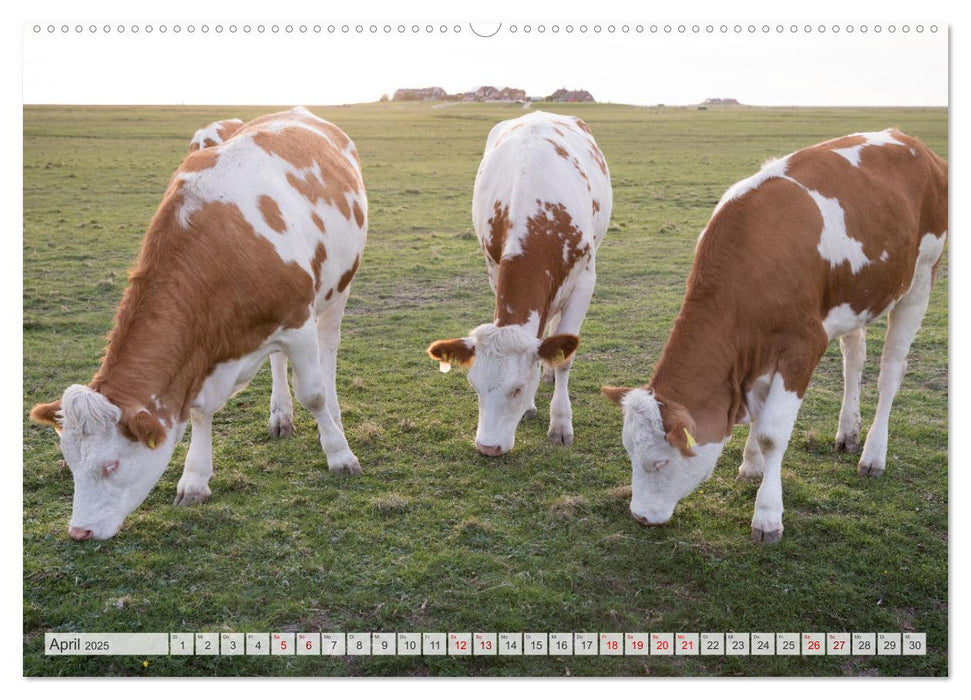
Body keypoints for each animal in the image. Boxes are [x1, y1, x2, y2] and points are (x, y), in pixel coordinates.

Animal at [28, 105, 368, 540]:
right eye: (69, 462)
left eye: (111, 465)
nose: (78, 532)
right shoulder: (204, 353)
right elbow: (199, 413)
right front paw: (194, 480)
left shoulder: (297, 320)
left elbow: (314, 394)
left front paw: (339, 455)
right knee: (277, 362)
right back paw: (280, 415)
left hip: (336, 291)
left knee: (328, 351)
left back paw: (333, 418)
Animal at [430, 110, 612, 454]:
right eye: (475, 386)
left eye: (516, 387)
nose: (487, 447)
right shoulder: (494, 269)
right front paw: (532, 403)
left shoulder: (585, 282)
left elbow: (566, 358)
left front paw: (560, 423)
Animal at [604, 129, 944, 540]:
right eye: (629, 454)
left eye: (659, 463)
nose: (640, 515)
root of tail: (908, 139)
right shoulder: (755, 353)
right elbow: (756, 415)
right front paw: (750, 466)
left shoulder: (802, 347)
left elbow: (771, 433)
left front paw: (767, 515)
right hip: (855, 296)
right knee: (854, 358)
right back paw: (848, 433)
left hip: (921, 277)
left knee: (890, 372)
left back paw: (873, 455)